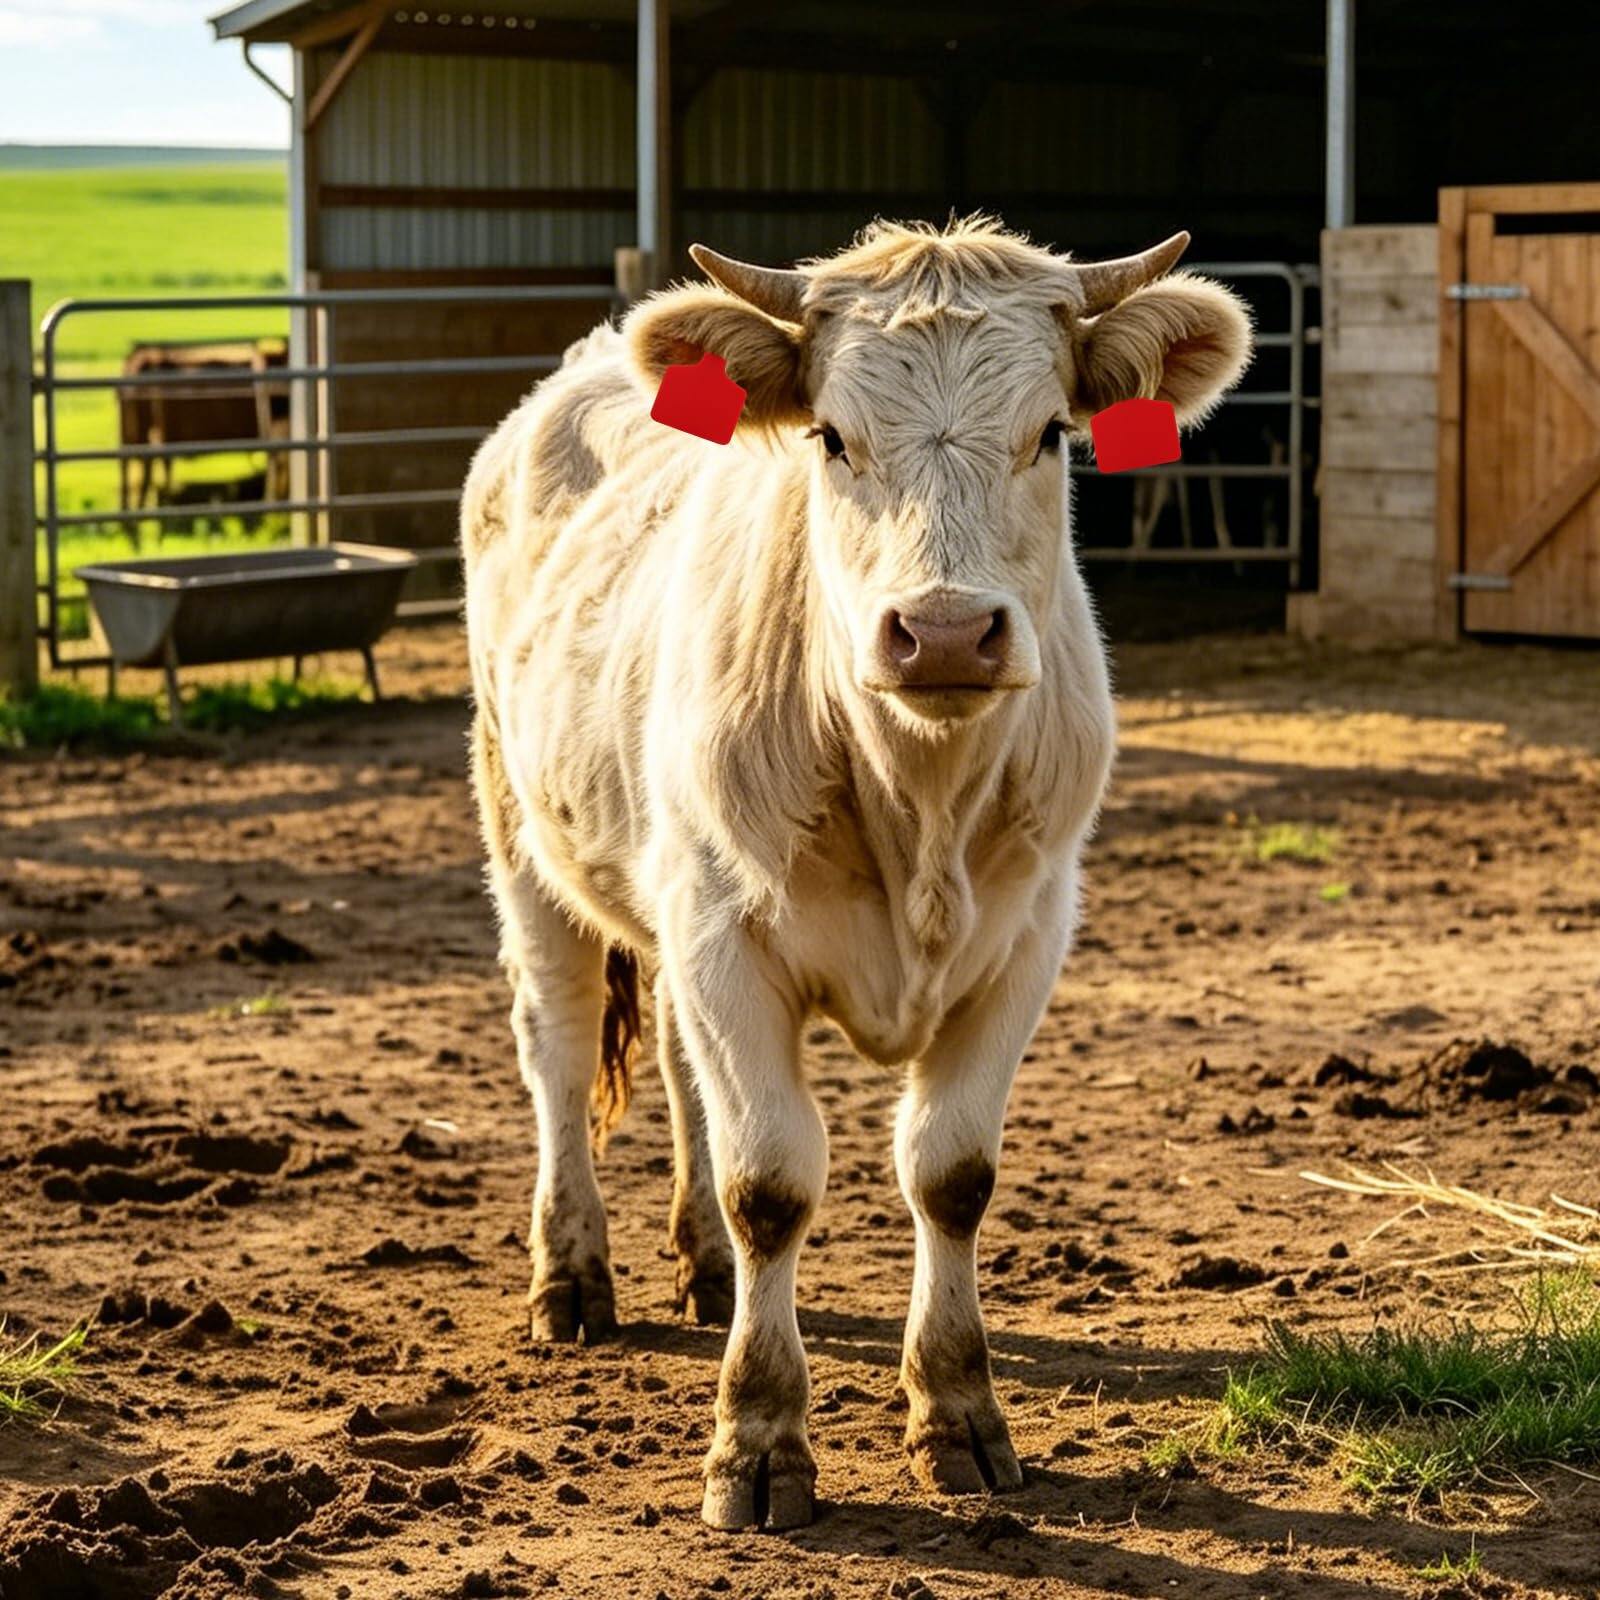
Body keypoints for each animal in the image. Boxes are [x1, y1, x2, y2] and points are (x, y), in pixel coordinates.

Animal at [460, 216, 1251, 1530]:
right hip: (524, 835)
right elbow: (772, 1181)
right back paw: (570, 1274)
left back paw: (702, 1267)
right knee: (561, 1052)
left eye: (1051, 432)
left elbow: (951, 1174)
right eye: (831, 436)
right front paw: (756, 1440)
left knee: (679, 1068)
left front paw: (958, 1412)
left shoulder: (1024, 939)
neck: (916, 797)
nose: (942, 632)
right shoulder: (727, 935)